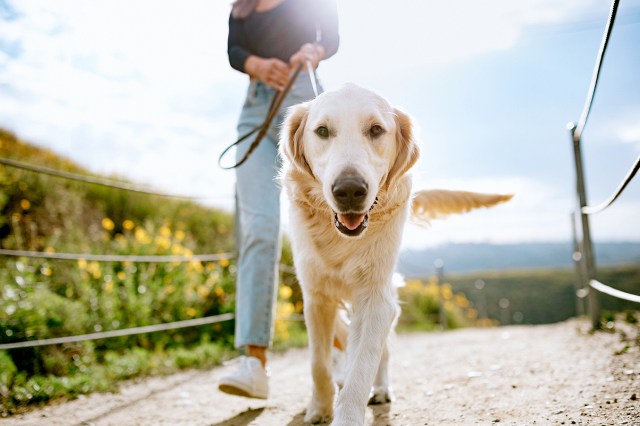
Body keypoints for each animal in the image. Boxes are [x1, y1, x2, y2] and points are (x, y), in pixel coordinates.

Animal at [278, 84, 512, 426]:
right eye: (322, 131)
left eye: (376, 130)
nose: (349, 190)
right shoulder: (316, 297)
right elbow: (318, 363)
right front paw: (319, 408)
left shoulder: (376, 297)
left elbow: (362, 366)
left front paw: (346, 414)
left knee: (382, 351)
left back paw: (381, 389)